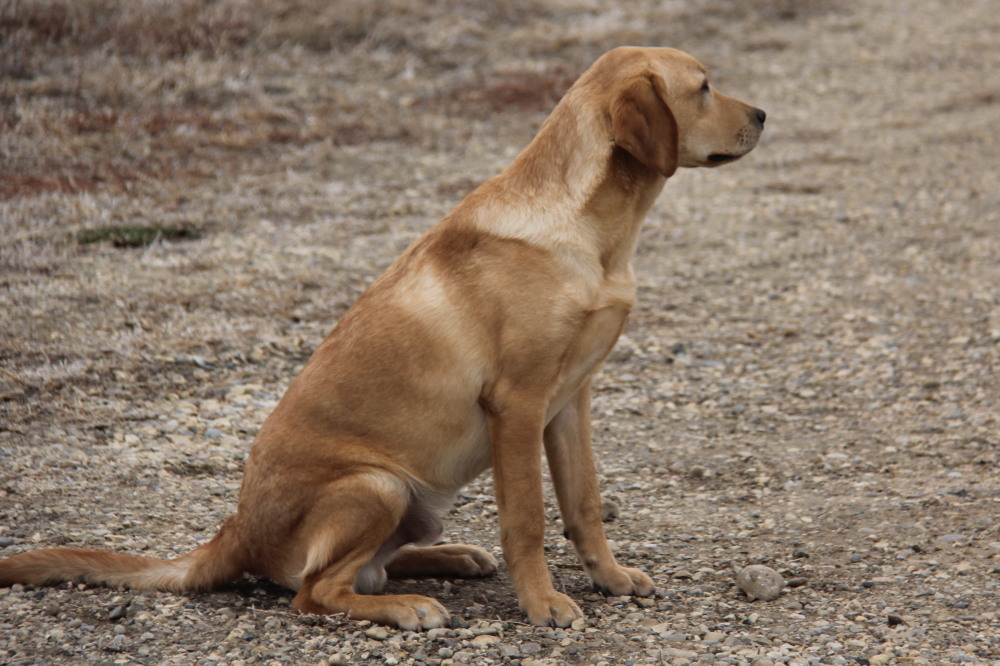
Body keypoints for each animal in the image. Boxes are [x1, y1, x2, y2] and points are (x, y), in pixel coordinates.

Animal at [1, 46, 764, 628]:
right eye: (703, 88)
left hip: (413, 501)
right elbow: (529, 521)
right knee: (317, 591)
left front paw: (608, 576)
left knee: (364, 571)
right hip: (376, 485)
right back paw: (408, 606)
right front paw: (544, 603)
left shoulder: (570, 401)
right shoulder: (518, 406)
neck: (591, 232)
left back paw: (449, 558)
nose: (763, 115)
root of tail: (232, 533)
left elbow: (583, 506)